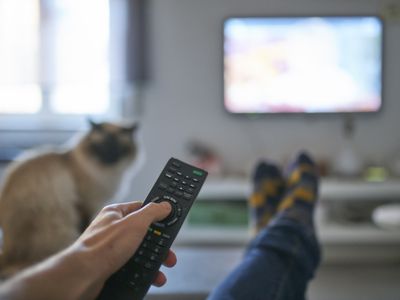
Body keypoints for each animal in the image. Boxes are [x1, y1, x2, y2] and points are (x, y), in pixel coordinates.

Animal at [0, 120, 139, 278]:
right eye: (101, 147)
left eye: (118, 148)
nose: (109, 157)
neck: (105, 173)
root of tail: (7, 250)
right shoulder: (85, 204)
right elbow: (85, 225)